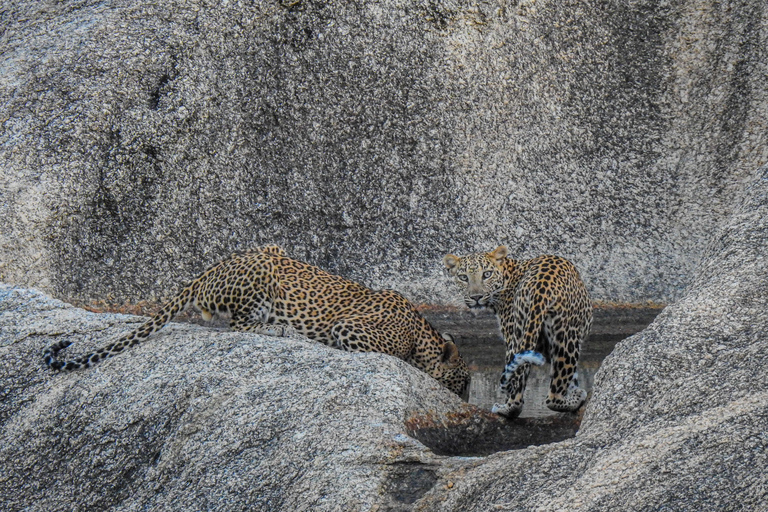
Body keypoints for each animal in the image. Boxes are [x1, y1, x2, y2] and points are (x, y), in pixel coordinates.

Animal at [46, 245, 474, 396]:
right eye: (465, 382)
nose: (467, 397)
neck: (421, 332)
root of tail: (205, 272)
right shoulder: (350, 329)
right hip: (263, 275)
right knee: (238, 326)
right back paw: (282, 328)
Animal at [440, 246, 592, 418]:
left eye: (486, 274)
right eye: (463, 277)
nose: (476, 297)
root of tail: (541, 286)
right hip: (560, 335)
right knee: (550, 391)